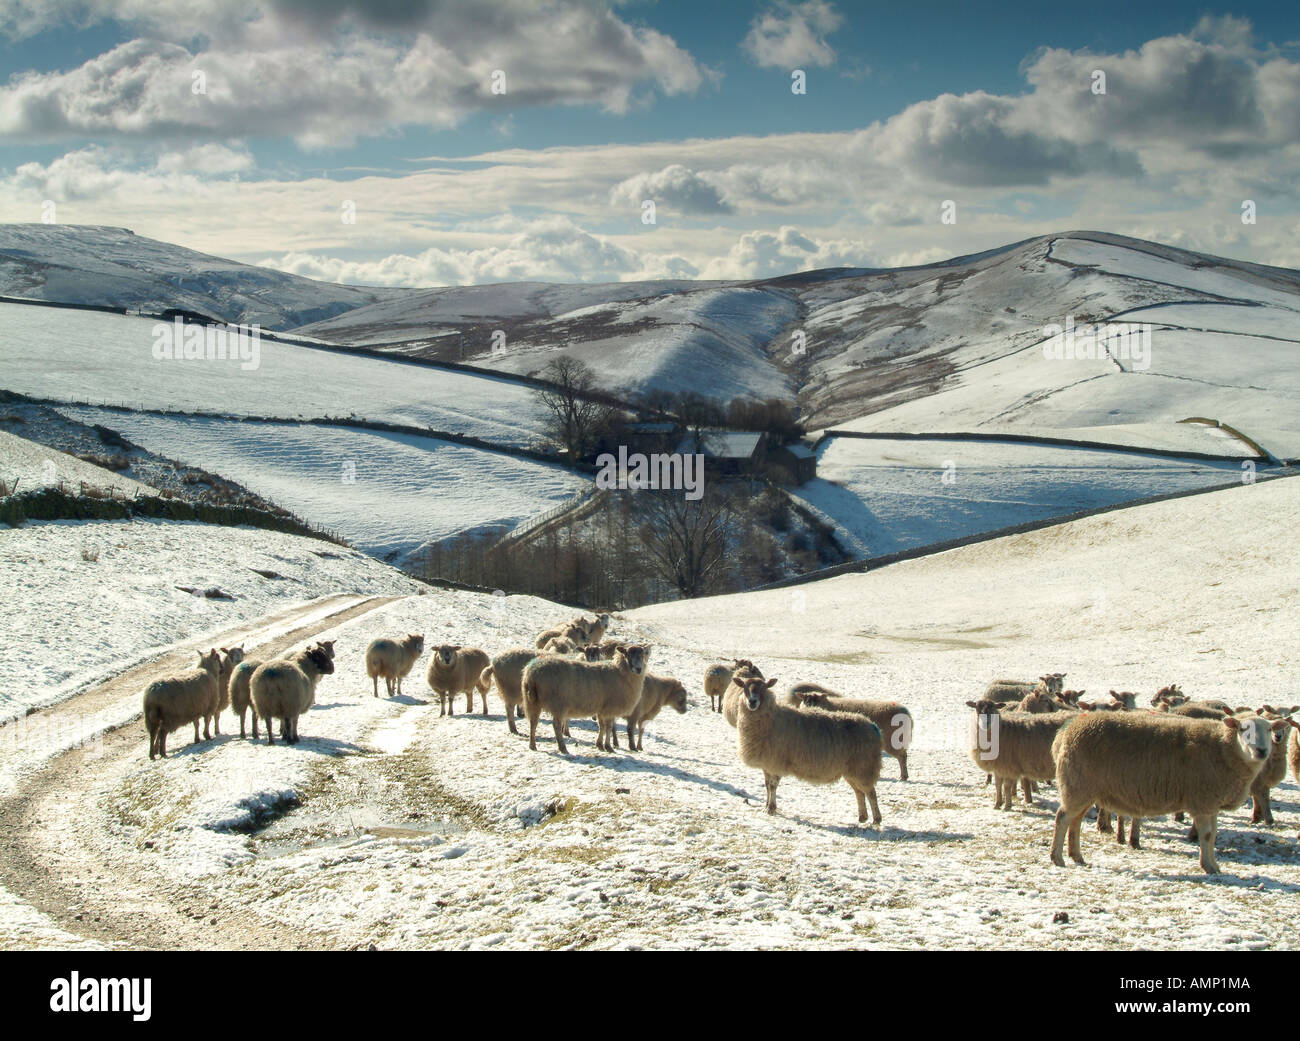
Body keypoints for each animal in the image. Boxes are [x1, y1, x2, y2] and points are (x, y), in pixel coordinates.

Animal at [733, 675, 883, 825]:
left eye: (764, 687)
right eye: (744, 687)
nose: (752, 702)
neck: (773, 719)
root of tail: (873, 726)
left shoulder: (777, 762)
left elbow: (773, 785)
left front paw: (771, 809)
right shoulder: (767, 764)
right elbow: (767, 785)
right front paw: (766, 805)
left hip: (864, 767)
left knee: (871, 792)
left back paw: (876, 820)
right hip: (852, 770)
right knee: (859, 792)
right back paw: (862, 817)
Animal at [1049, 710, 1289, 874]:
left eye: (1269, 729)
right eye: (1242, 729)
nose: (1262, 751)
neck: (1223, 749)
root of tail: (1065, 733)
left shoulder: (1211, 804)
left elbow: (1213, 836)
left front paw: (1214, 865)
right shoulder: (1202, 801)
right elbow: (1207, 835)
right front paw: (1208, 866)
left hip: (1085, 789)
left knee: (1075, 821)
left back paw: (1076, 856)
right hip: (1077, 785)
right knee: (1062, 818)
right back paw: (1058, 858)